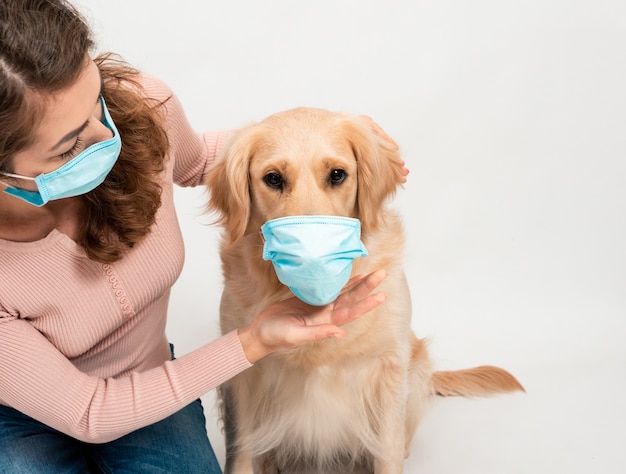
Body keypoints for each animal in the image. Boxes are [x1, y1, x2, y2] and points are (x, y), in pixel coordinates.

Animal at [206, 108, 520, 474]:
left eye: (337, 174)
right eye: (273, 178)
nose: (311, 254)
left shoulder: (387, 369)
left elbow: (388, 453)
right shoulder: (242, 376)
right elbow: (241, 452)